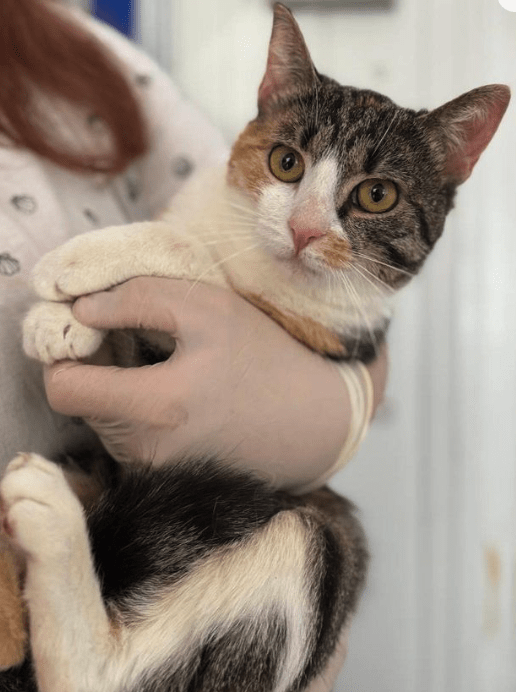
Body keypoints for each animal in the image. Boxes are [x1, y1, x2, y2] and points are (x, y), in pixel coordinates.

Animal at [0, 1, 508, 688]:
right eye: (286, 162)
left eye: (377, 195)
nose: (305, 229)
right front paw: (64, 324)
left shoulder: (326, 333)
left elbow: (202, 267)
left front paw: (80, 262)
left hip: (318, 539)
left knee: (105, 675)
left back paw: (48, 517)